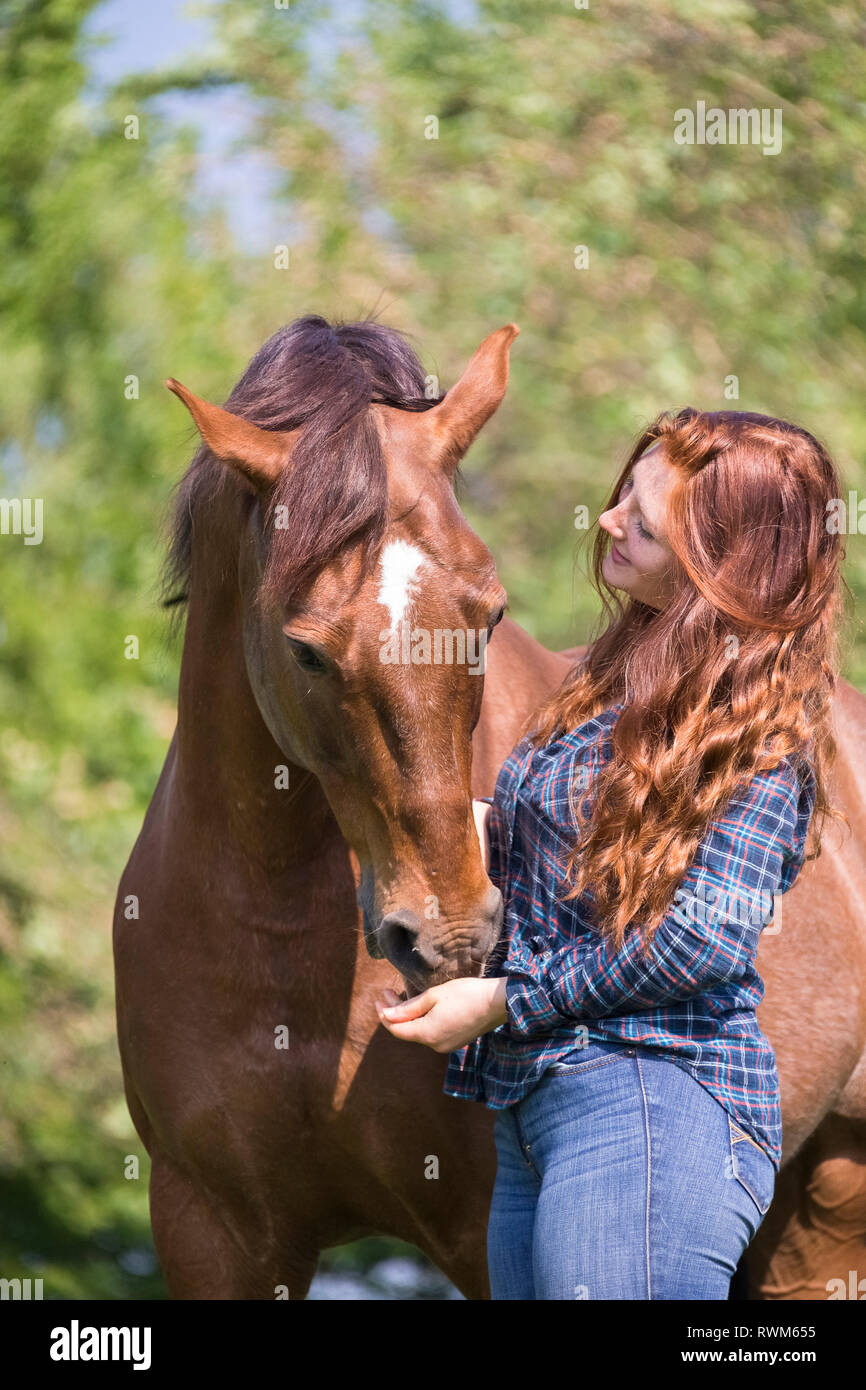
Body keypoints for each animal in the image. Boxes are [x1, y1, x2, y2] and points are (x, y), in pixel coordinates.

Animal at [115, 318, 866, 1301]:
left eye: (490, 614)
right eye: (305, 648)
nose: (451, 940)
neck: (281, 946)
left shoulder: (484, 1228)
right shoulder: (214, 1229)